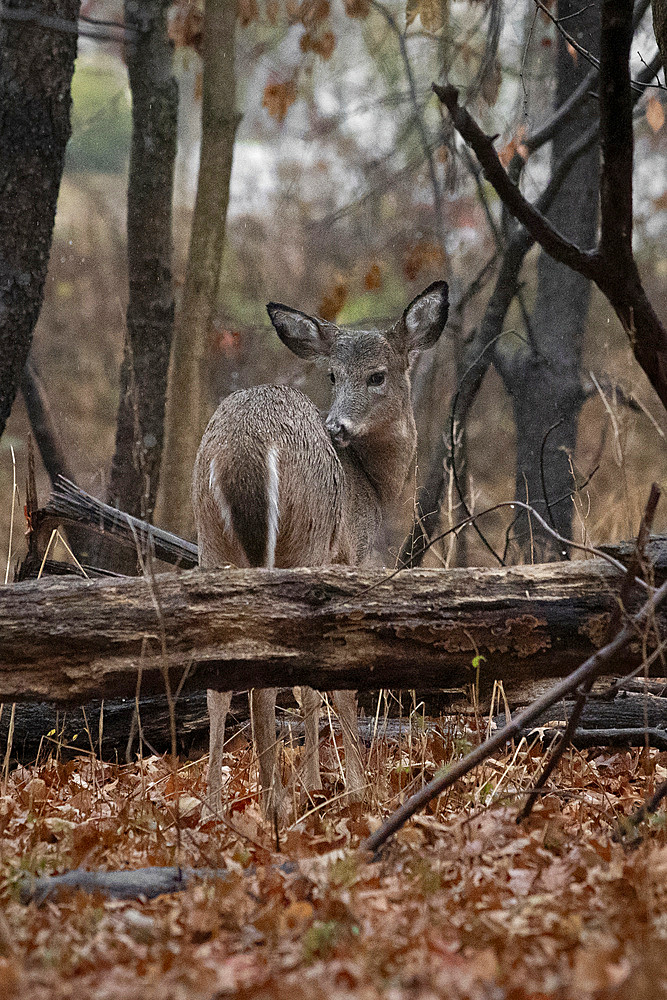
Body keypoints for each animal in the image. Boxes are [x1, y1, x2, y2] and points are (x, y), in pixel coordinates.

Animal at [196, 282, 452, 820]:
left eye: (377, 375)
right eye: (333, 374)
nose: (337, 426)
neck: (375, 490)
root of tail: (242, 454)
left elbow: (308, 689)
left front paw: (315, 782)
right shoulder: (353, 560)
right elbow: (335, 684)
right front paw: (354, 789)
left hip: (212, 542)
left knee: (219, 682)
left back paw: (213, 808)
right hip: (302, 541)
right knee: (267, 679)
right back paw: (273, 804)